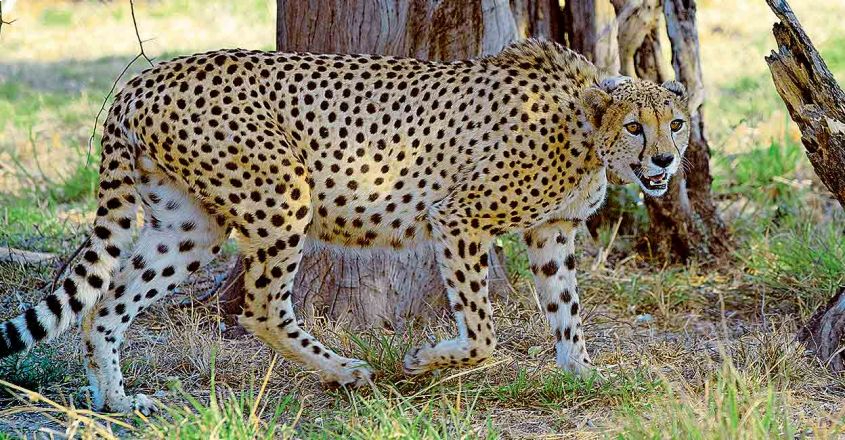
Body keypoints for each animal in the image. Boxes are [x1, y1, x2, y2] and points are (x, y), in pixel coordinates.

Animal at [0, 39, 690, 414]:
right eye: (636, 127)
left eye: (676, 124)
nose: (664, 161)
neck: (586, 126)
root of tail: (149, 74)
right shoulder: (458, 215)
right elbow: (484, 333)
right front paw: (425, 360)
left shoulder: (553, 231)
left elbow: (567, 311)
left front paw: (583, 374)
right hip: (283, 195)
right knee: (259, 307)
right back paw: (346, 371)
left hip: (189, 226)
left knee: (105, 304)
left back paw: (117, 402)